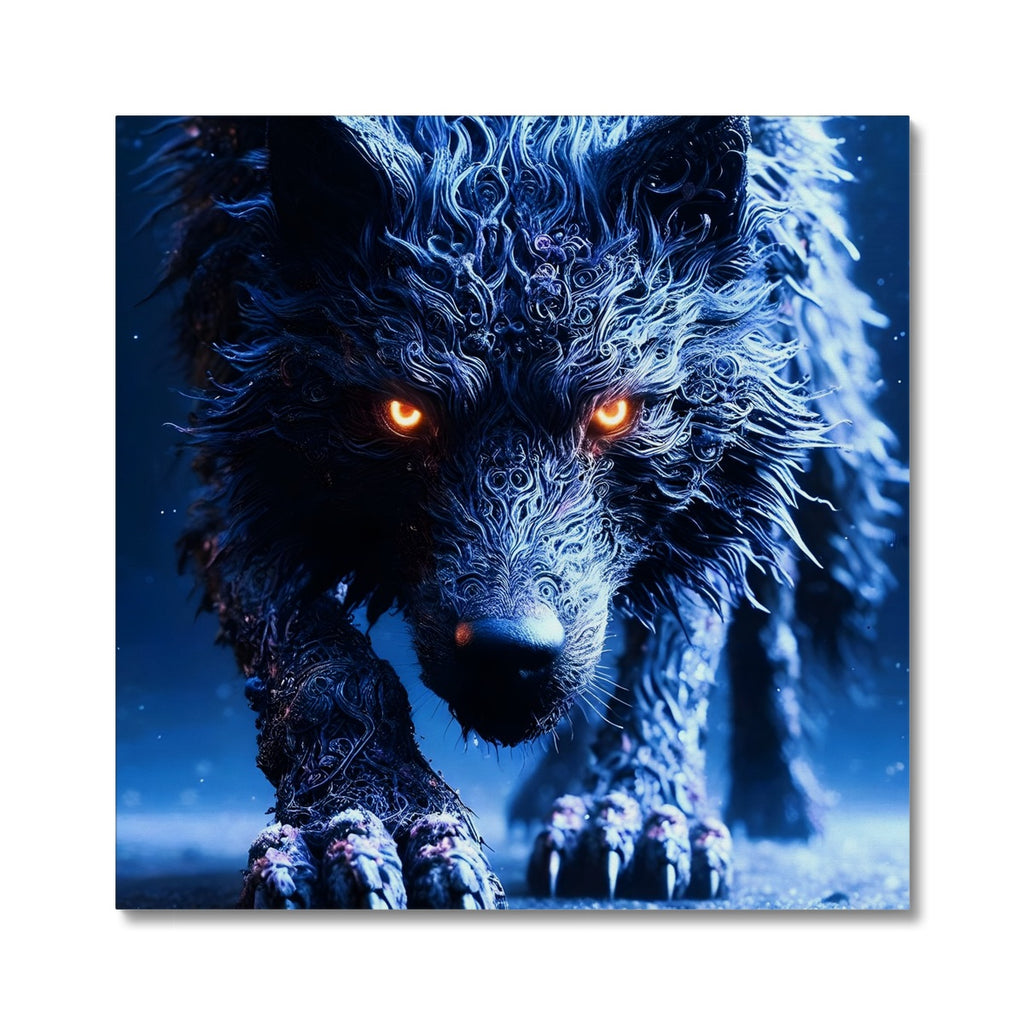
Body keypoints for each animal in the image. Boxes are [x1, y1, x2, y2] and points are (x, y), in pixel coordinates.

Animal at [151, 116, 904, 908]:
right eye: (404, 412)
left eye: (615, 411)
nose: (508, 649)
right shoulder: (242, 436)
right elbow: (321, 665)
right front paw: (371, 823)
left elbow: (682, 636)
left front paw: (635, 811)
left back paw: (774, 800)